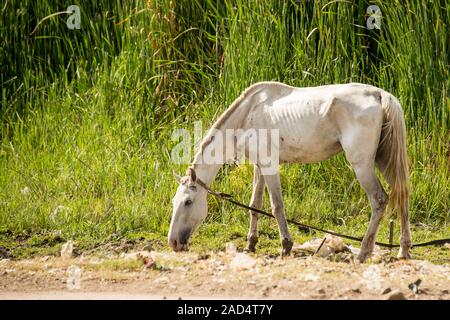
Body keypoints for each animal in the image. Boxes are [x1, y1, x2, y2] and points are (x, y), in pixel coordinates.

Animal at [169, 80, 412, 262]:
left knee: (379, 200)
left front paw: (286, 245)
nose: (173, 243)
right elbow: (255, 205)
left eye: (188, 202)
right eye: (174, 202)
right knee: (402, 195)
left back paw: (363, 252)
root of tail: (380, 95)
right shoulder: (259, 166)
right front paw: (251, 243)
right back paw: (404, 249)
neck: (248, 114)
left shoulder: (270, 166)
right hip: (384, 160)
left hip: (362, 165)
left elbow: (277, 206)